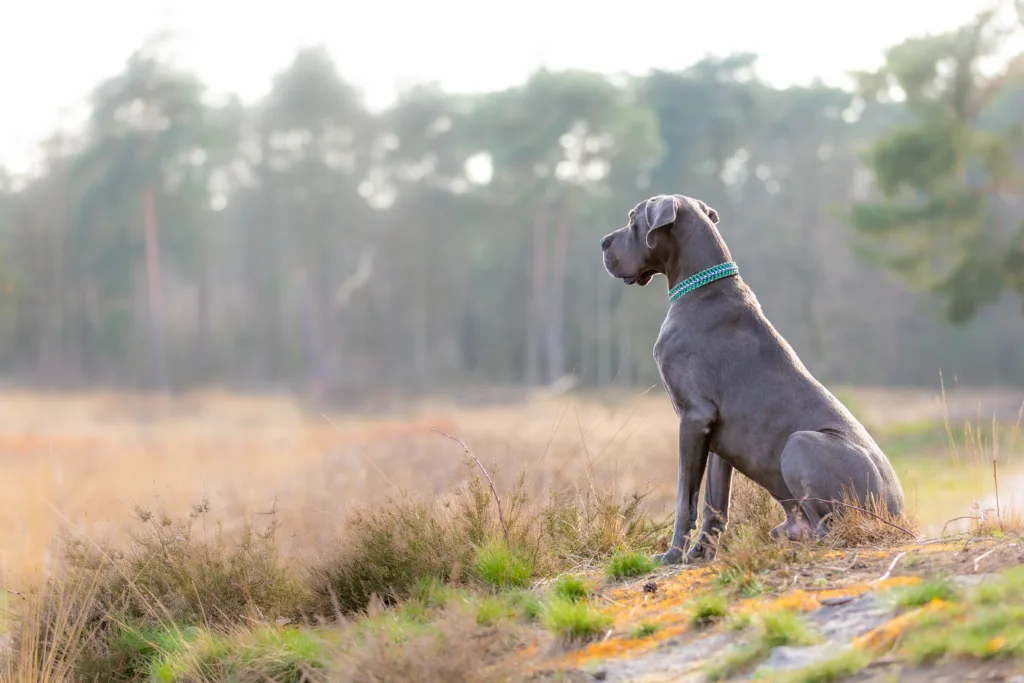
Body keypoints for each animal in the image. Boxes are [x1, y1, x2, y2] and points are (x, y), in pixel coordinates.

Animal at [598, 193, 905, 565]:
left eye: (633, 219)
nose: (602, 242)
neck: (702, 290)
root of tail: (897, 516)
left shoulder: (694, 417)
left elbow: (686, 498)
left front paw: (672, 555)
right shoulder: (716, 436)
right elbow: (715, 504)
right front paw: (700, 554)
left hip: (801, 444)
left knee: (831, 531)